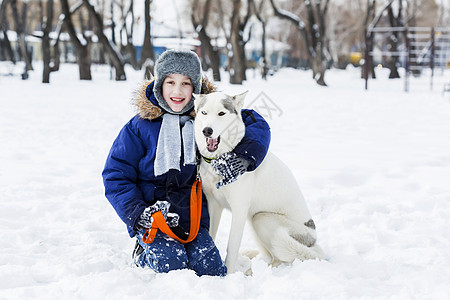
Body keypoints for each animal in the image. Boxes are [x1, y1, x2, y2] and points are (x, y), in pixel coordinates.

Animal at [192, 90, 326, 274]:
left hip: (260, 218)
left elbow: (231, 247)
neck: (221, 160)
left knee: (280, 259)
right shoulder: (214, 204)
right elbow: (211, 235)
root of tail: (313, 241)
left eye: (221, 113)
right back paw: (251, 255)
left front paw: (228, 274)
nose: (207, 130)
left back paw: (252, 272)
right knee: (270, 254)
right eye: (204, 113)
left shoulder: (240, 209)